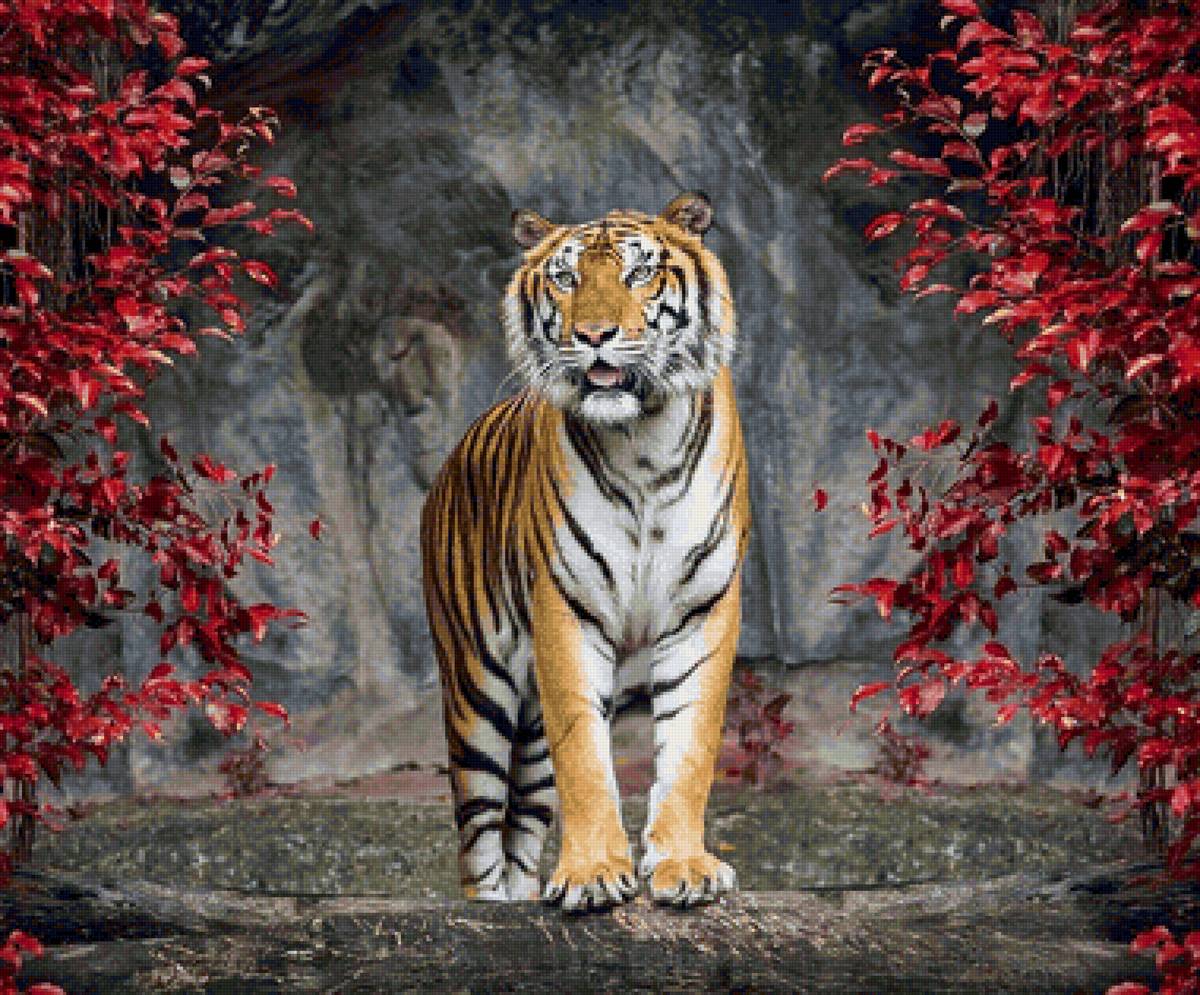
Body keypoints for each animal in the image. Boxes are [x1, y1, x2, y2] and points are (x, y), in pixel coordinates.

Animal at [420, 191, 750, 911]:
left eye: (639, 274)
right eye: (567, 279)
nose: (595, 334)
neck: (643, 440)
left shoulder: (702, 610)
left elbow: (689, 749)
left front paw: (684, 866)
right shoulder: (566, 611)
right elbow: (586, 758)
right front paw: (595, 873)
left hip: (527, 729)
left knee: (520, 829)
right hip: (476, 690)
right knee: (479, 838)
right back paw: (490, 908)